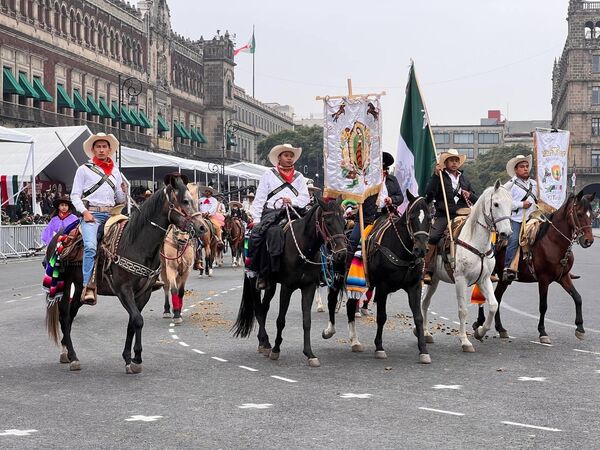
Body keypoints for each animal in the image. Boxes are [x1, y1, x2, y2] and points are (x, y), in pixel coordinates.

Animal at [43, 176, 205, 372]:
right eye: (185, 201)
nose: (202, 227)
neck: (135, 244)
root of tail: (58, 236)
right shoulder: (123, 290)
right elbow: (138, 320)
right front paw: (136, 359)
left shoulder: (143, 293)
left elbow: (132, 323)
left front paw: (129, 358)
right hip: (65, 284)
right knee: (65, 317)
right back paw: (73, 356)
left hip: (80, 287)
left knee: (71, 315)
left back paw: (67, 352)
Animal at [231, 199, 344, 368]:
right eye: (328, 222)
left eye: (343, 221)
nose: (342, 254)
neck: (303, 247)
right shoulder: (287, 287)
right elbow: (281, 320)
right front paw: (276, 350)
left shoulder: (308, 287)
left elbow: (306, 321)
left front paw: (310, 354)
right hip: (253, 281)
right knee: (258, 309)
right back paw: (266, 343)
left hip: (270, 285)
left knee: (264, 308)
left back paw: (263, 343)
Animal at [322, 192, 434, 364]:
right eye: (412, 217)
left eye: (429, 217)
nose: (420, 250)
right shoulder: (383, 286)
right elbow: (382, 316)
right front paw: (379, 348)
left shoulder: (414, 287)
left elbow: (418, 317)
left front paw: (423, 351)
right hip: (337, 278)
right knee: (332, 301)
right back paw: (329, 330)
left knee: (350, 307)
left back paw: (355, 341)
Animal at [420, 179, 512, 352]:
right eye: (496, 204)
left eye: (512, 205)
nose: (506, 233)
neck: (475, 242)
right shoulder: (460, 280)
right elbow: (463, 310)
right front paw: (465, 341)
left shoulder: (484, 280)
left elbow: (493, 305)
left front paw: (480, 332)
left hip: (434, 280)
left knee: (425, 302)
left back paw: (425, 333)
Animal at [474, 191, 596, 344]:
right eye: (579, 214)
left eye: (592, 215)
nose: (589, 241)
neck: (553, 242)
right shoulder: (543, 279)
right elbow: (543, 306)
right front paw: (542, 332)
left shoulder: (563, 277)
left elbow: (578, 298)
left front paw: (580, 328)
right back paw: (479, 322)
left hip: (503, 279)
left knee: (497, 298)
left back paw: (500, 328)